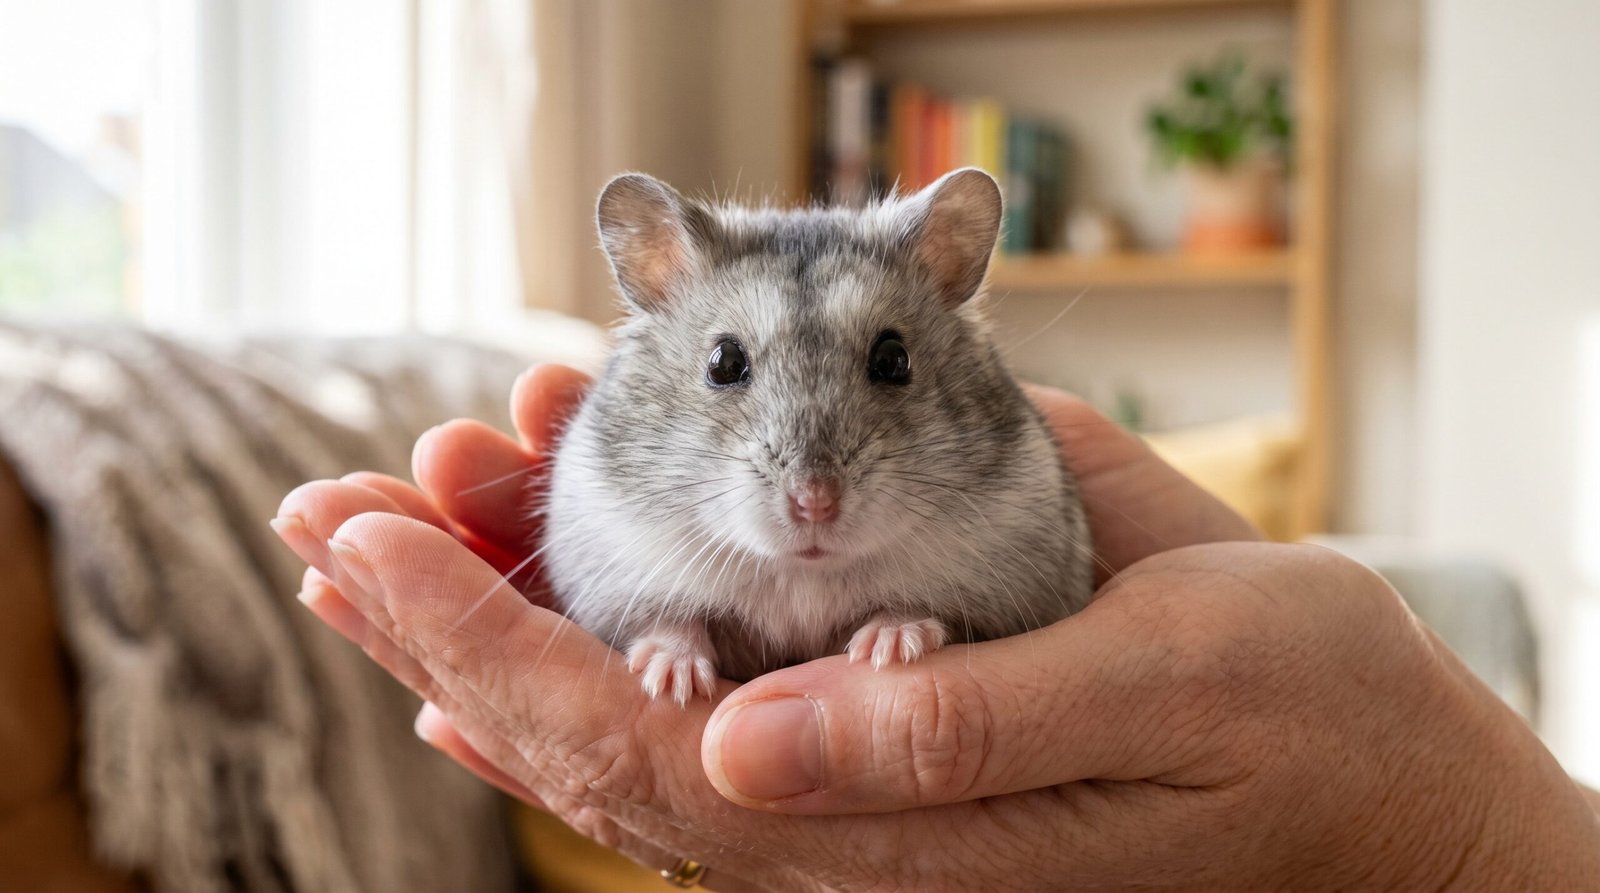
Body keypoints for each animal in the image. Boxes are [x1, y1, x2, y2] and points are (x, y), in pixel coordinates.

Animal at [541, 168, 1094, 704]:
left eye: (894, 359)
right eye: (724, 362)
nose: (815, 503)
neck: (805, 574)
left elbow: (929, 614)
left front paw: (892, 646)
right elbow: (668, 622)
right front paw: (671, 680)